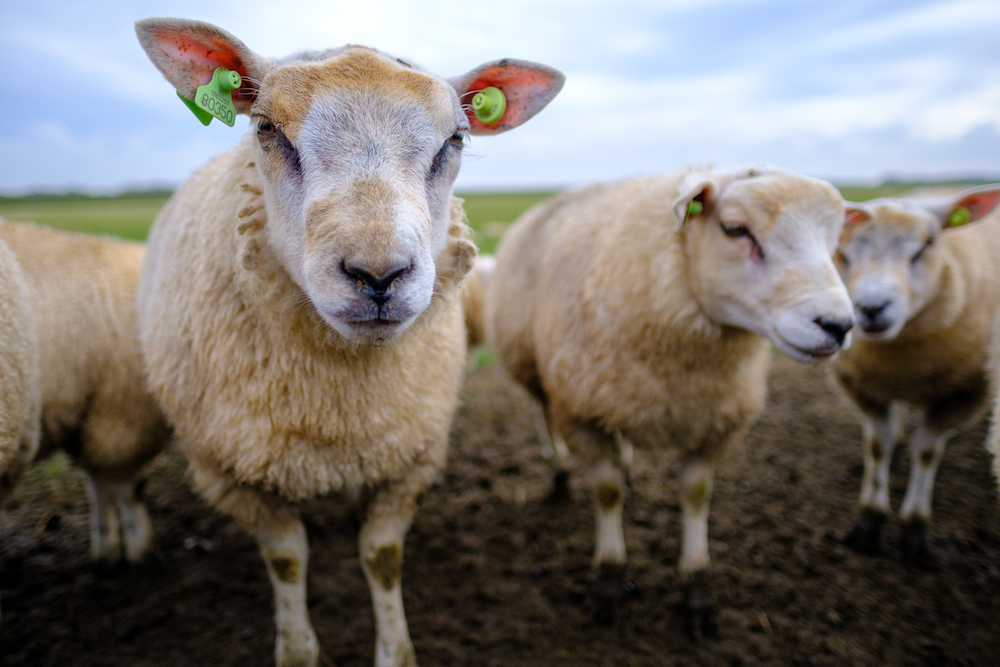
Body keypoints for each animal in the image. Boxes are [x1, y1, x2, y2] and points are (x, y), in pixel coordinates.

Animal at [0, 220, 170, 564]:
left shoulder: (94, 419)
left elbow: (98, 486)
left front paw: (107, 547)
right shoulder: (120, 416)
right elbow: (127, 488)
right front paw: (136, 548)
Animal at [137, 17, 568, 667]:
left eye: (456, 139)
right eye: (266, 128)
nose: (378, 275)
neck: (341, 399)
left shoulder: (406, 457)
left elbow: (381, 559)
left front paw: (395, 649)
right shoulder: (234, 475)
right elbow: (287, 559)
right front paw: (297, 649)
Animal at [488, 167, 856, 636]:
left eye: (835, 239)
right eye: (735, 229)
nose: (838, 325)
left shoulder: (714, 423)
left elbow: (696, 496)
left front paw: (696, 589)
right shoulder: (581, 410)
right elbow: (606, 494)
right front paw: (609, 580)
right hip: (538, 371)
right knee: (545, 419)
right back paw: (561, 475)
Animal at [832, 185, 1000, 560]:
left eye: (926, 246)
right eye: (843, 253)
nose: (871, 308)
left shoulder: (965, 393)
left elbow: (927, 452)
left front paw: (915, 527)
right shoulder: (861, 385)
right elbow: (876, 446)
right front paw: (870, 522)